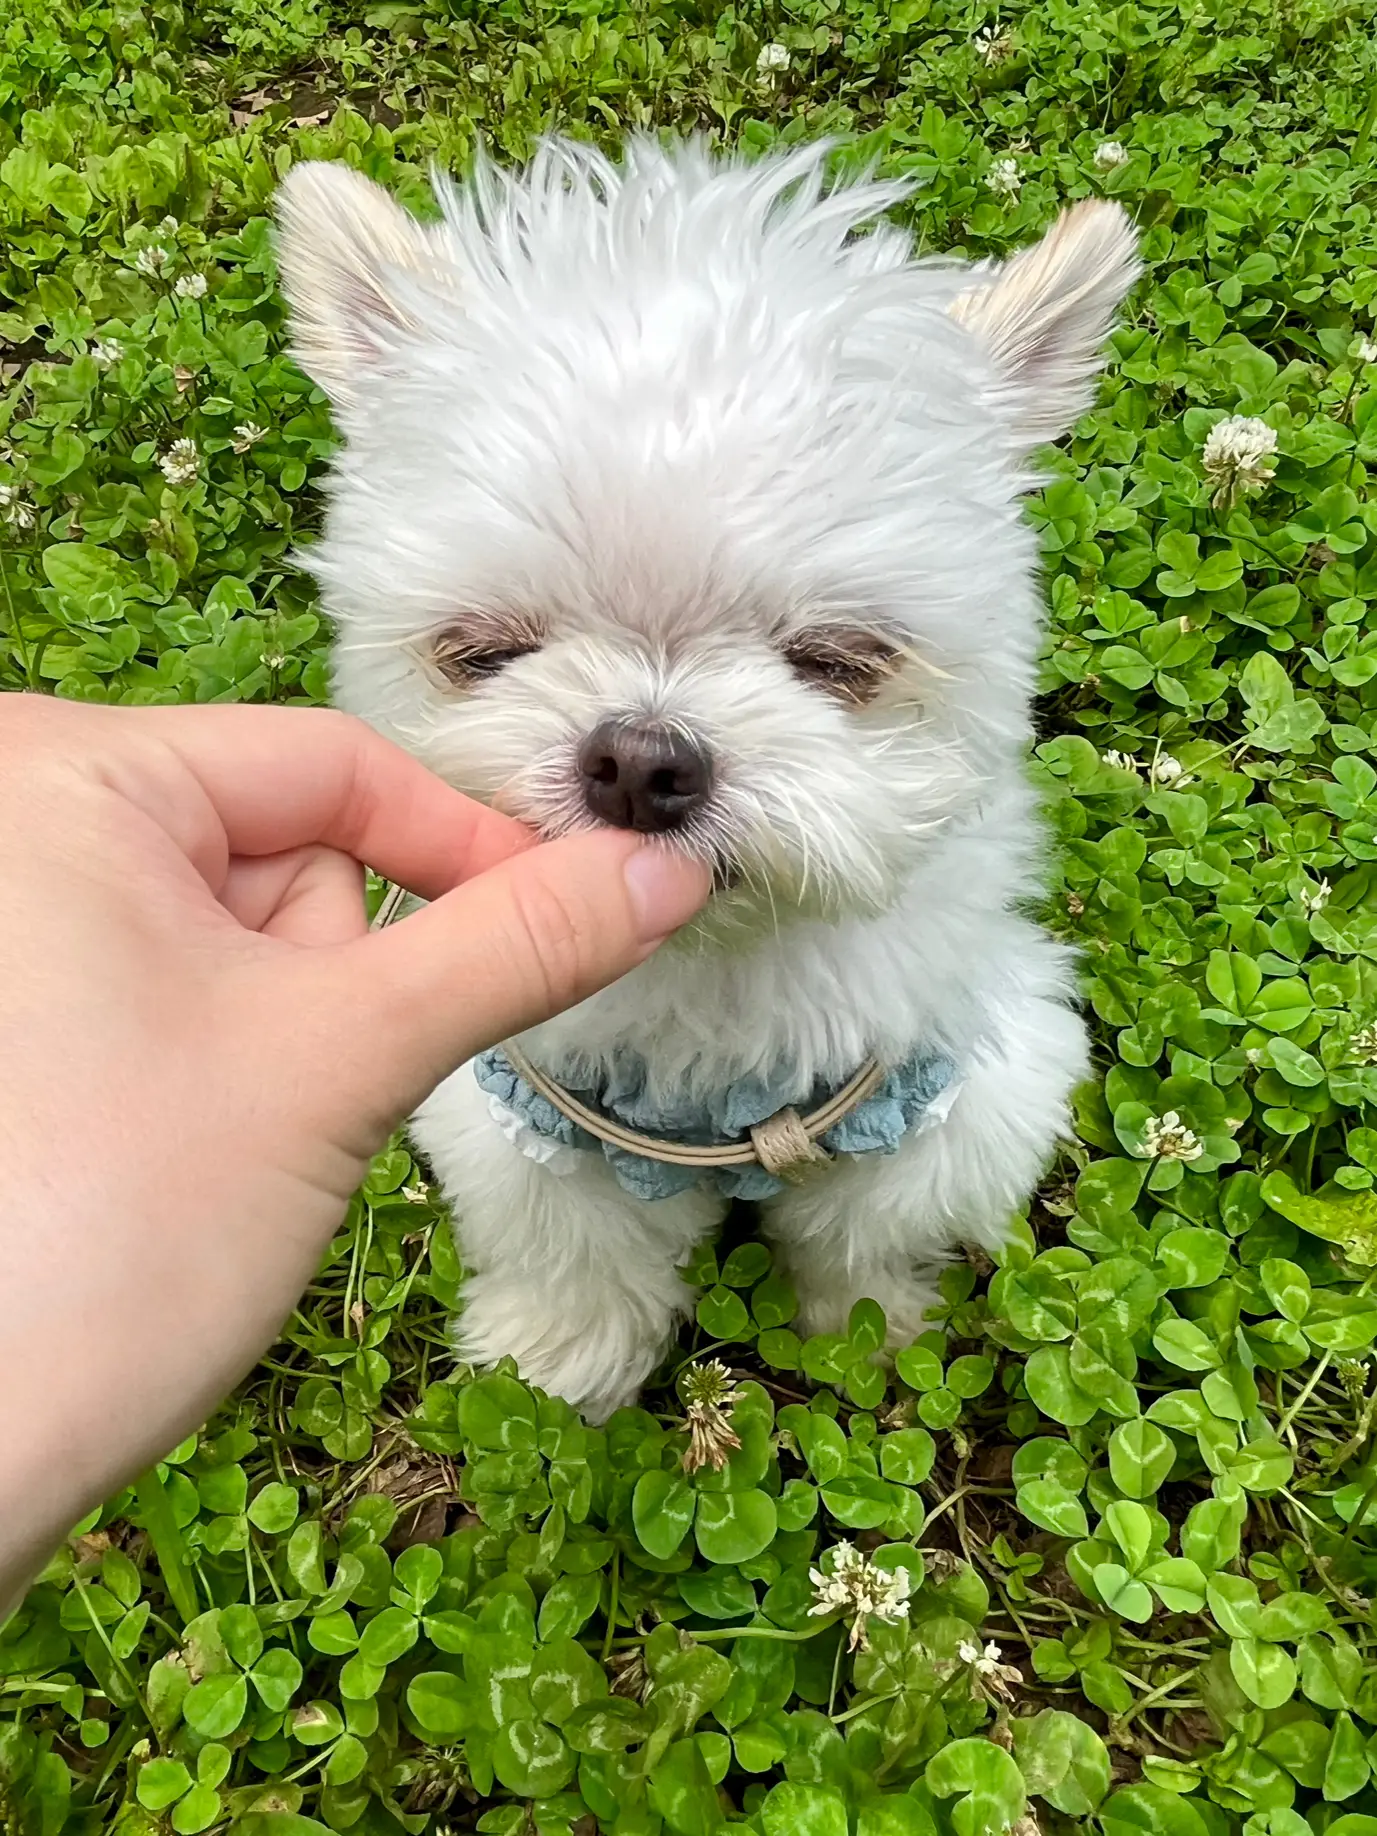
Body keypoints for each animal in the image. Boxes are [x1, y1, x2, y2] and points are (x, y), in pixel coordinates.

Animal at [275, 139, 1138, 1417]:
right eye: (482, 651)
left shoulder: (958, 1094)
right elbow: (577, 1252)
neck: (705, 991)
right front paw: (558, 1363)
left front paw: (872, 1334)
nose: (641, 760)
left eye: (841, 660)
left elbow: (864, 1234)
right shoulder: (523, 1118)